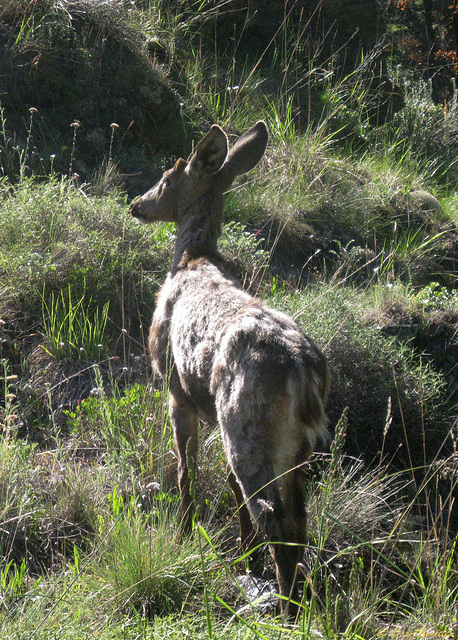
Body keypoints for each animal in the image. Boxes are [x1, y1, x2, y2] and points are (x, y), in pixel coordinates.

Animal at [131, 121, 330, 620]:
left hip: (247, 424)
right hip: (290, 446)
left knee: (276, 517)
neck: (192, 259)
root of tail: (304, 374)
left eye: (168, 176)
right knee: (297, 515)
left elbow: (186, 469)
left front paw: (183, 532)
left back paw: (286, 607)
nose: (136, 204)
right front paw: (243, 554)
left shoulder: (177, 393)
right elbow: (228, 487)